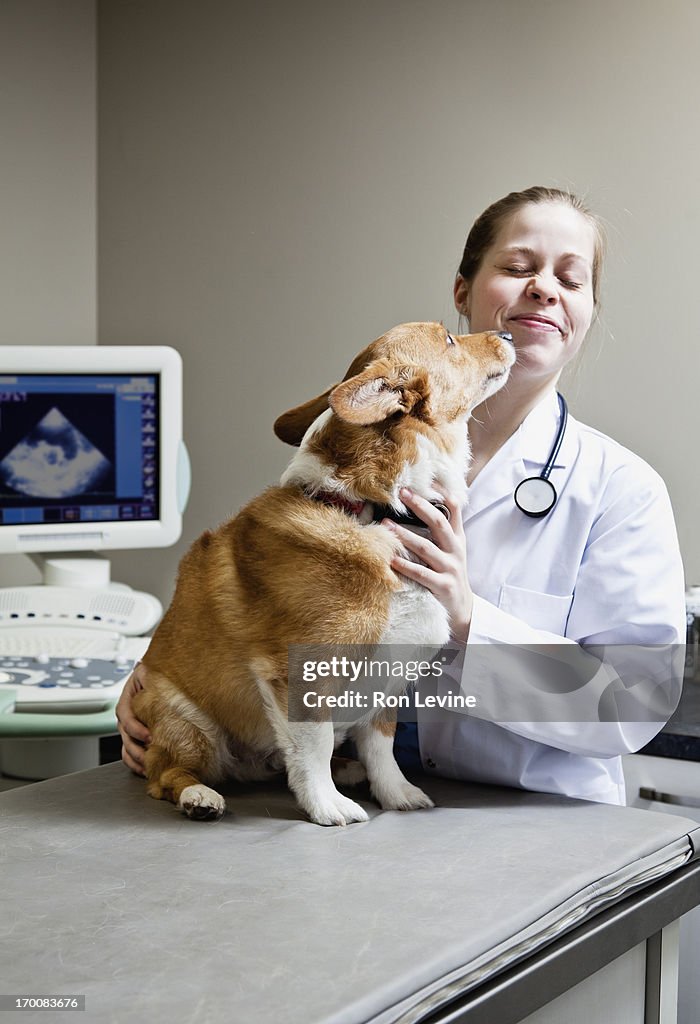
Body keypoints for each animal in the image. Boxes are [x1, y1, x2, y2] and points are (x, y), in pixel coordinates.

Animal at [133, 323, 513, 827]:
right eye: (450, 339)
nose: (509, 334)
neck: (371, 509)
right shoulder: (302, 673)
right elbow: (312, 745)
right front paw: (326, 805)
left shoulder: (388, 680)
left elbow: (382, 746)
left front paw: (396, 793)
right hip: (184, 721)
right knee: (166, 774)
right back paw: (200, 796)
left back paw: (346, 768)